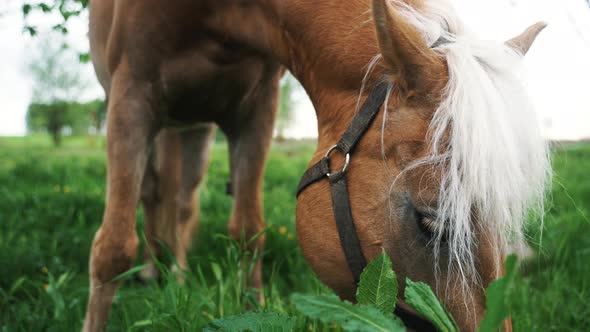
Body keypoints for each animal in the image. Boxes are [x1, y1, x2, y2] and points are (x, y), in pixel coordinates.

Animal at [83, 0, 552, 330]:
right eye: (430, 222)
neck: (215, 14)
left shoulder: (256, 109)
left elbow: (248, 231)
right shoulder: (131, 98)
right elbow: (112, 247)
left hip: (193, 129)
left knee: (181, 202)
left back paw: (174, 276)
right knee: (153, 193)